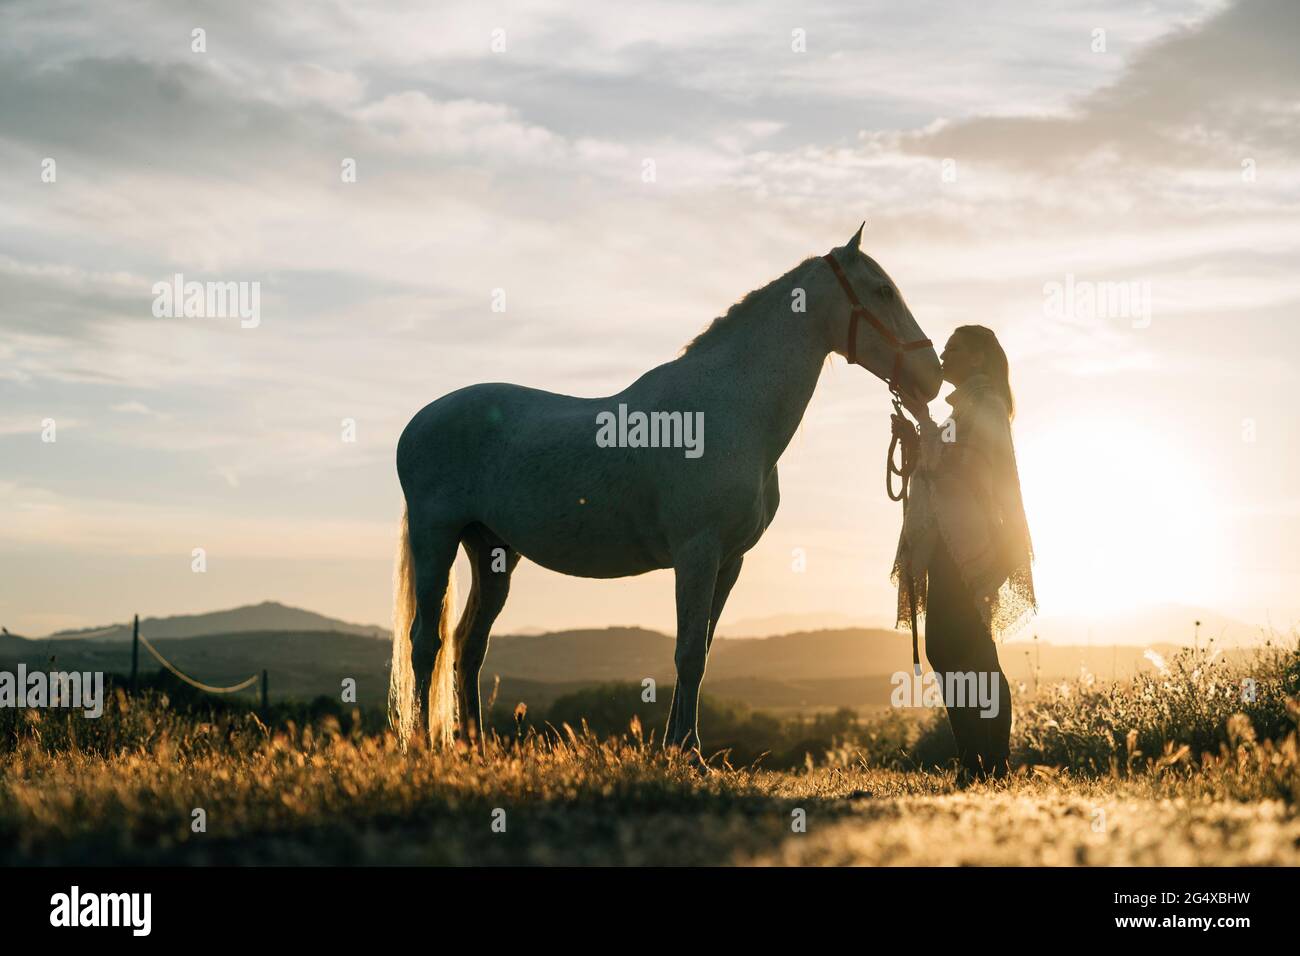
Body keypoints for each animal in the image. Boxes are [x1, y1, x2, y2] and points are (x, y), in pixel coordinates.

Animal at [389, 225, 942, 752]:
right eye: (883, 291)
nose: (932, 378)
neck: (729, 408)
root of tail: (419, 421)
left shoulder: (729, 560)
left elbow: (702, 648)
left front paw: (679, 746)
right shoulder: (697, 551)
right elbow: (689, 652)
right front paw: (685, 749)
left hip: (493, 551)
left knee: (468, 646)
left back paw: (474, 748)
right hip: (436, 538)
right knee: (425, 643)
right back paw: (422, 747)